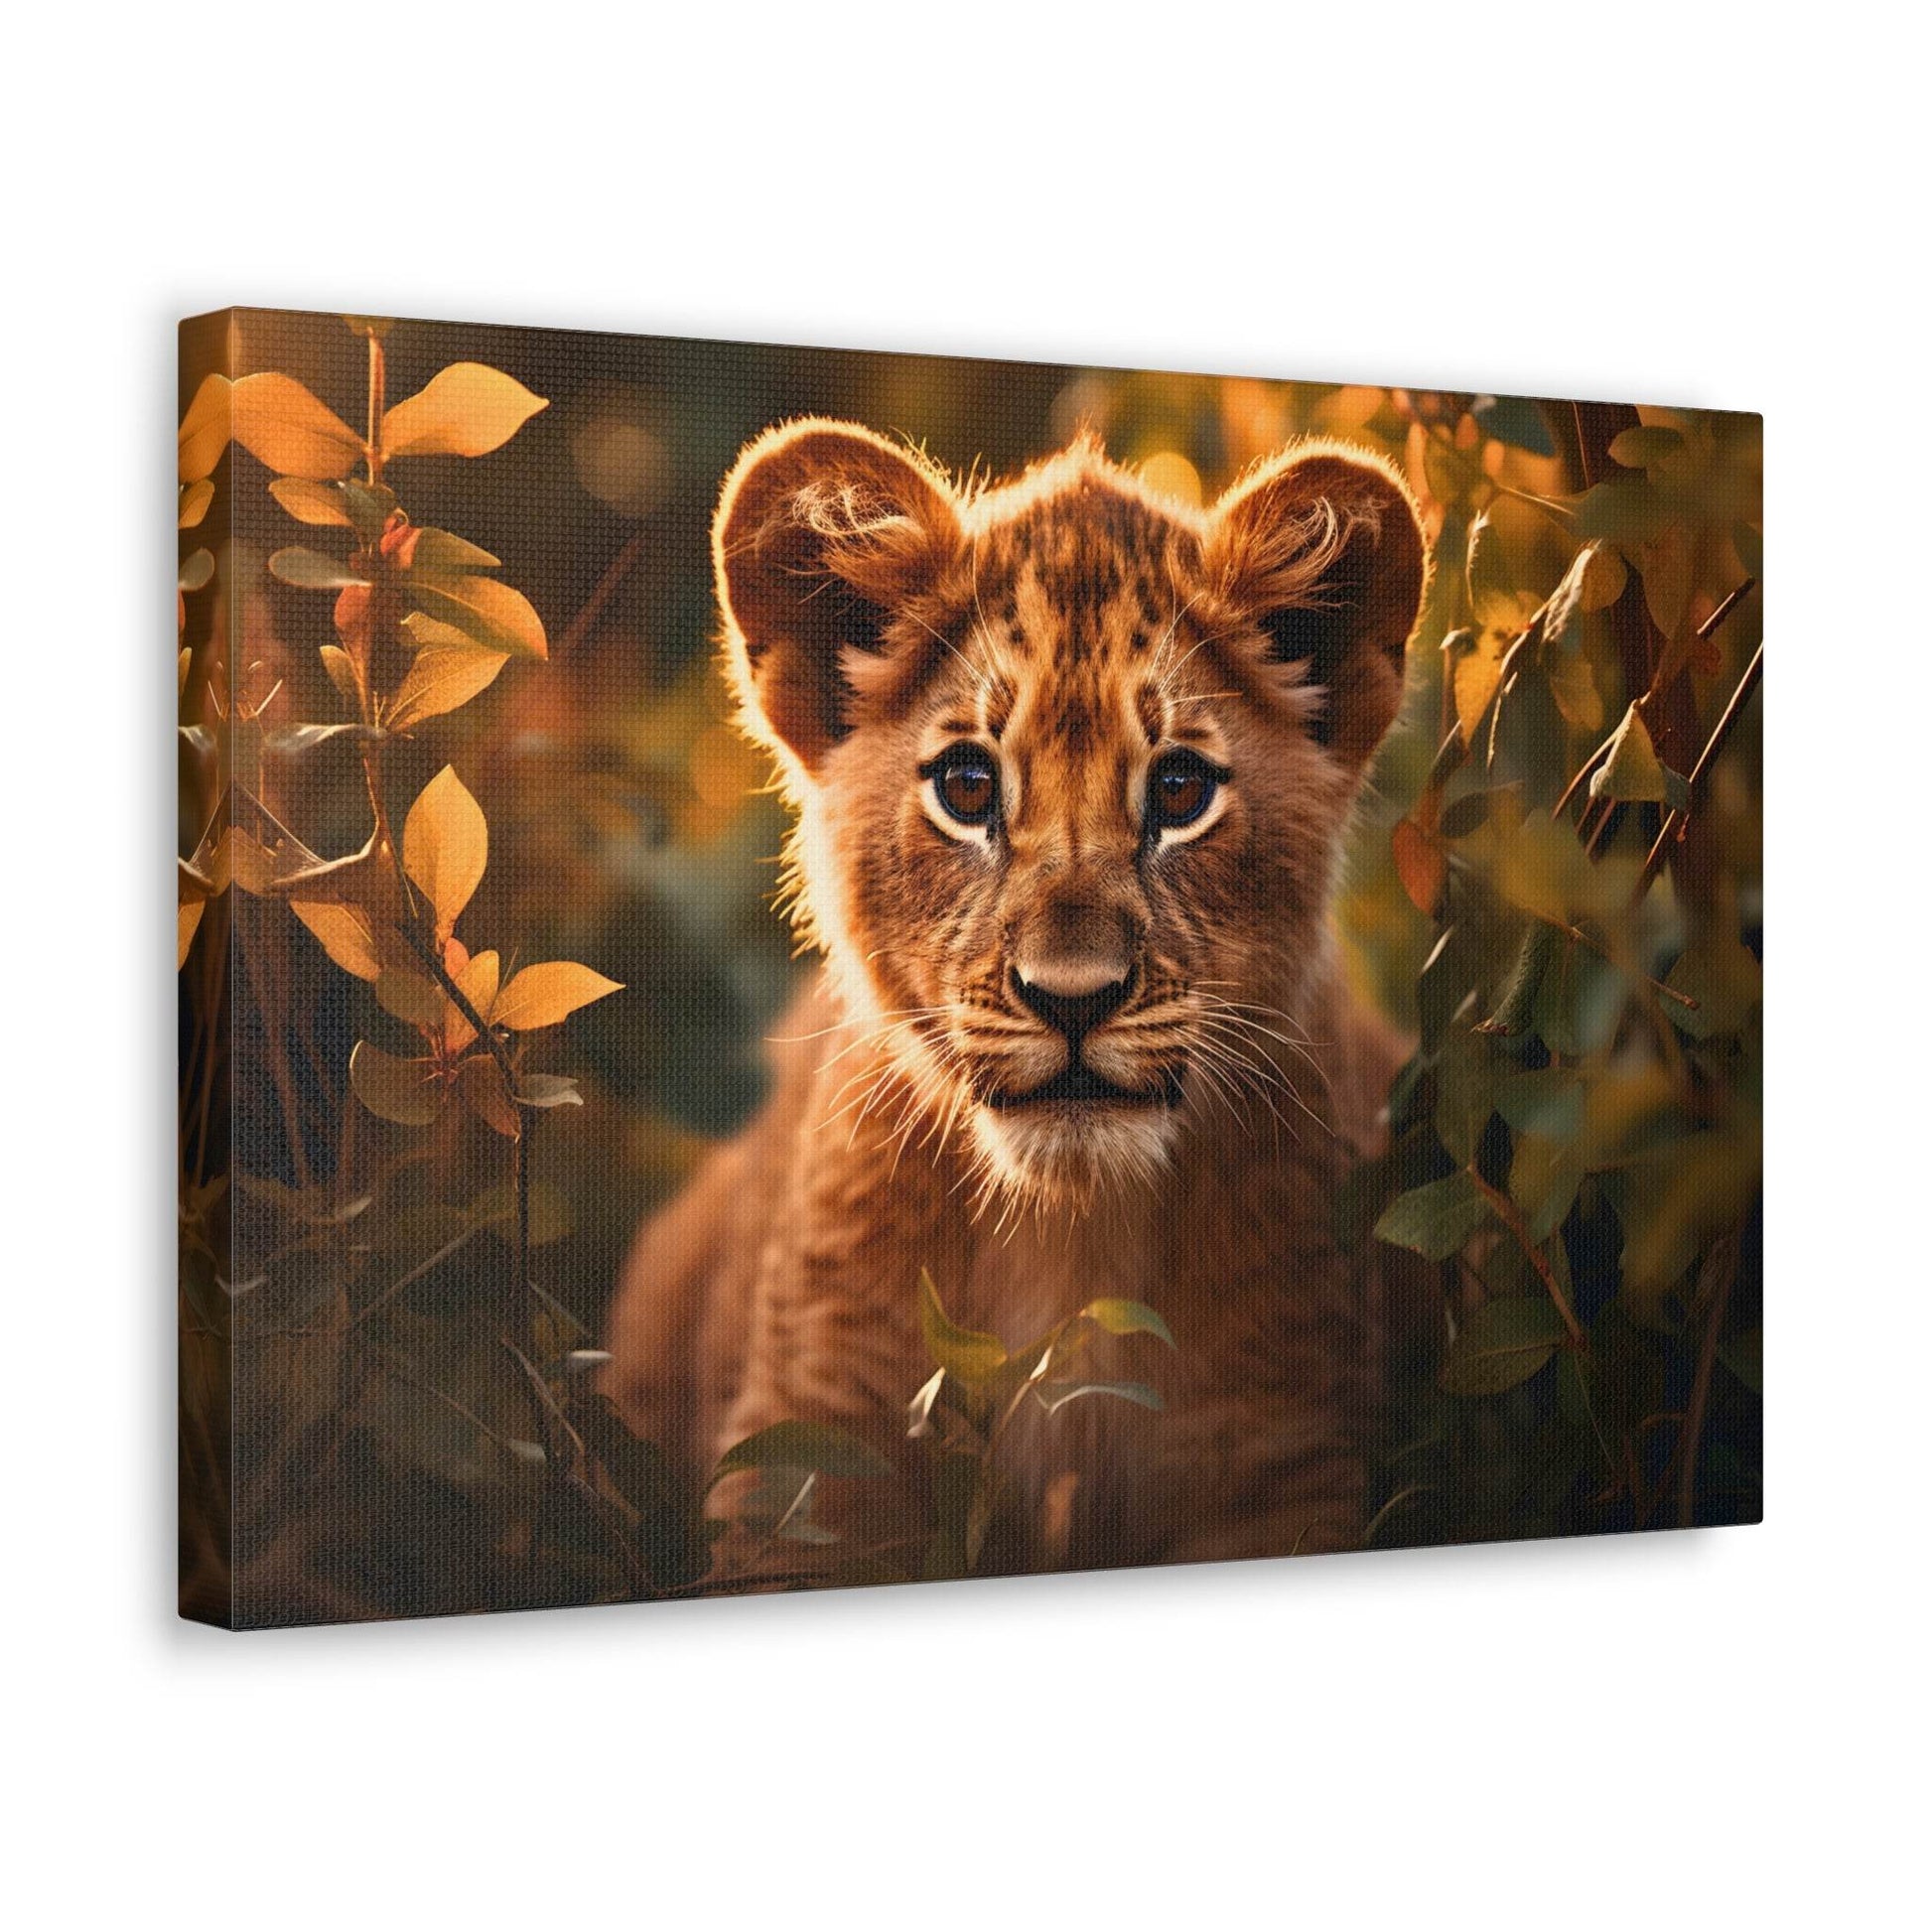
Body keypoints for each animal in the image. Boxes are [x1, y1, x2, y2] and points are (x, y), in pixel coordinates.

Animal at [602, 416, 1429, 1576]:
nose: (1072, 999)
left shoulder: (1281, 1456)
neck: (1068, 1234)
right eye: (967, 786)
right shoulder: (811, 1456)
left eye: (1179, 789)